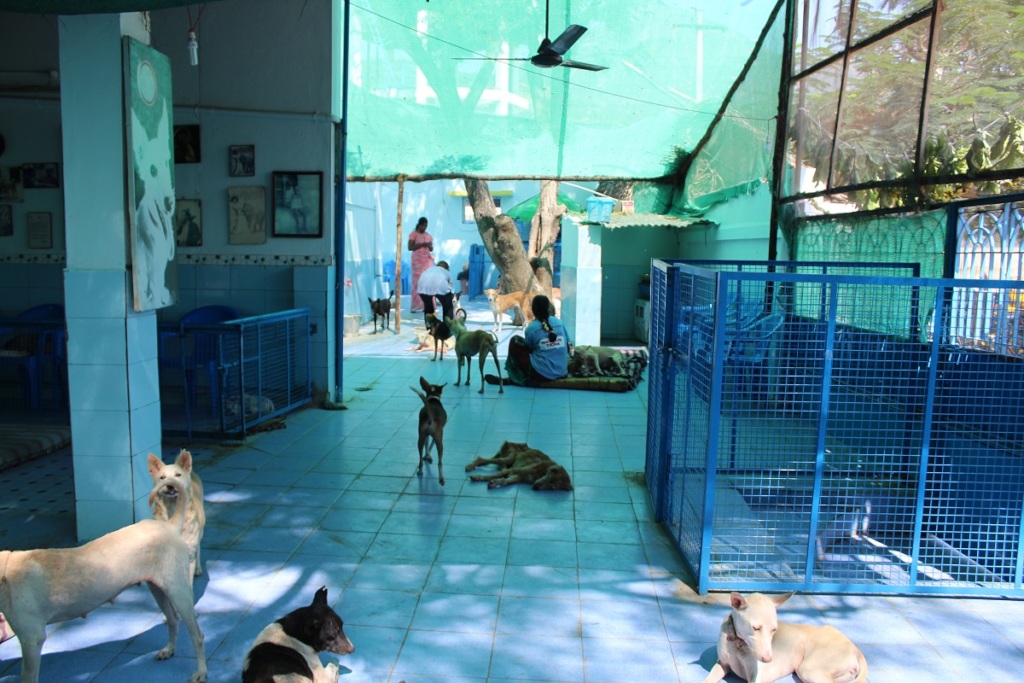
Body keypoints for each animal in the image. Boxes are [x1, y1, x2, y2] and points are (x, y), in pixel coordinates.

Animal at [0, 477, 207, 683]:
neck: (6, 569)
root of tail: (169, 525)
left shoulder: (31, 639)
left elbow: (28, 675)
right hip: (158, 588)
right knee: (173, 620)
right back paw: (169, 650)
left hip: (178, 592)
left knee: (197, 635)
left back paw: (201, 672)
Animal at [148, 448, 206, 580]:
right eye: (162, 477)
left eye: (178, 475)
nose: (170, 485)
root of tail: (191, 472)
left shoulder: (189, 554)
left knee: (199, 548)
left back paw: (198, 568)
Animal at [702, 591, 868, 683]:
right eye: (756, 628)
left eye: (774, 629)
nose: (768, 659)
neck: (738, 643)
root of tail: (854, 646)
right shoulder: (722, 664)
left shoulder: (756, 676)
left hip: (808, 670)